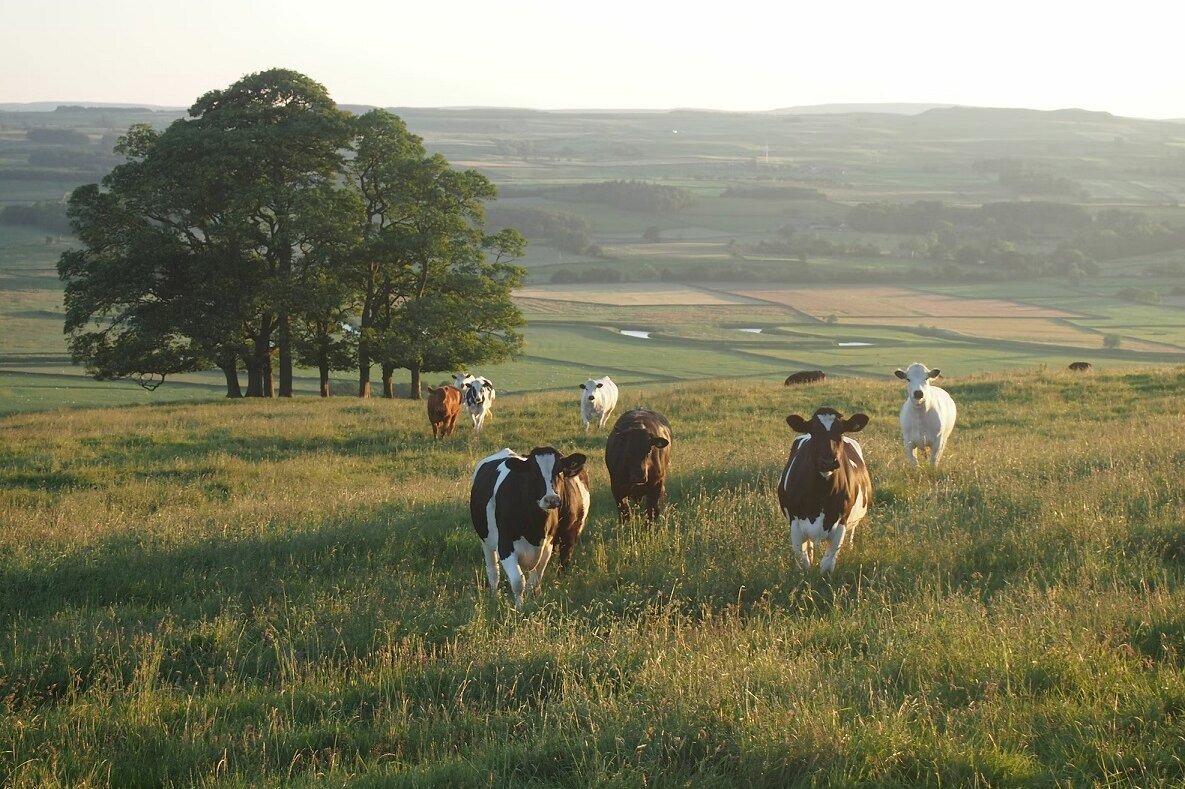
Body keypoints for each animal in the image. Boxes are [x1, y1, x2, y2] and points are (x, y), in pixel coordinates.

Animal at [466, 445, 587, 604]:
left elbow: (534, 580)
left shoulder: (547, 546)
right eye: (534, 472)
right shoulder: (505, 546)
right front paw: (519, 606)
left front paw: (532, 601)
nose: (551, 499)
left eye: (559, 471)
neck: (534, 528)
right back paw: (494, 597)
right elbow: (518, 582)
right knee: (493, 572)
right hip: (485, 540)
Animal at [772, 405, 876, 571]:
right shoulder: (795, 523)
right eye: (814, 431)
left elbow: (827, 564)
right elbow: (803, 562)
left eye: (841, 432)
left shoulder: (841, 523)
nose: (828, 462)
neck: (820, 493)